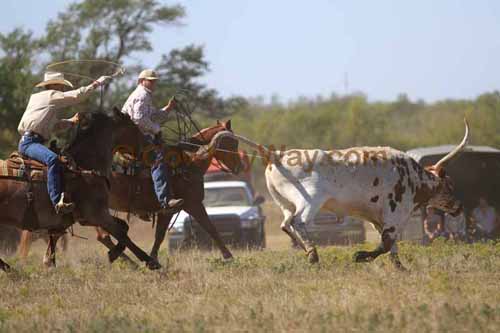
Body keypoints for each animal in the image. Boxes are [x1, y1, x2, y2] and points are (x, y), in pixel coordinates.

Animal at [0, 109, 160, 270]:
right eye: (134, 128)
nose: (151, 151)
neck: (85, 168)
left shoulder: (86, 218)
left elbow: (123, 227)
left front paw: (115, 253)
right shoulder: (97, 214)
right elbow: (122, 234)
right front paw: (150, 261)